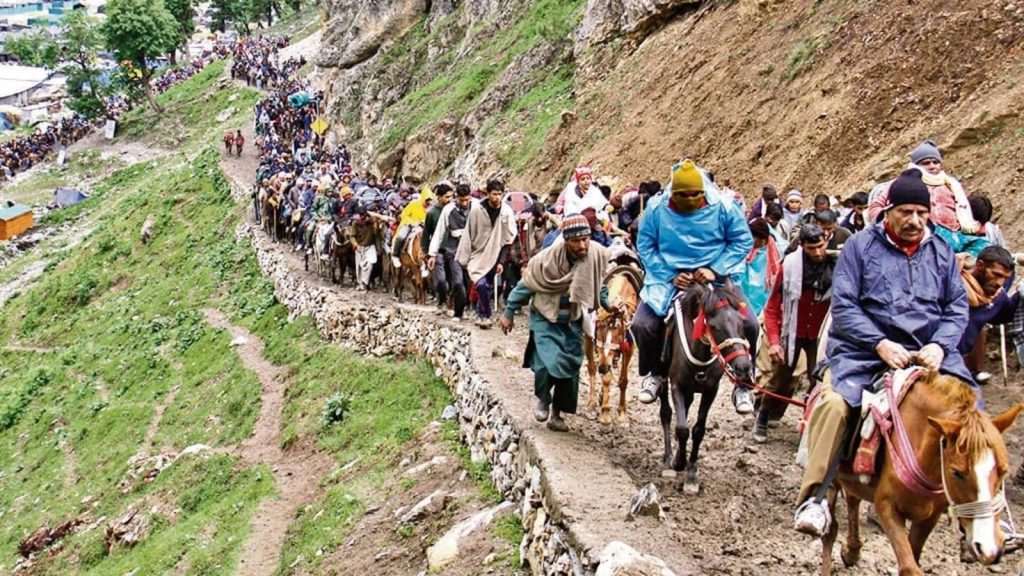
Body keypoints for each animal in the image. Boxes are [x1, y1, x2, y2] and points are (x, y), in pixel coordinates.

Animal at [585, 262, 638, 424]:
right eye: (599, 330)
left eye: (618, 333)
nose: (603, 367)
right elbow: (605, 377)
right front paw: (606, 414)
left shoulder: (629, 347)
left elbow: (623, 380)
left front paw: (622, 413)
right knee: (591, 368)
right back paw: (592, 405)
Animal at [659, 280, 757, 491]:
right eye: (714, 326)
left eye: (740, 323)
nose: (743, 366)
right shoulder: (677, 386)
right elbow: (682, 428)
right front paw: (679, 463)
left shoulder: (711, 391)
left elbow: (698, 430)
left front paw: (691, 473)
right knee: (666, 413)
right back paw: (668, 459)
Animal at [823, 373, 1024, 573]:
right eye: (957, 472)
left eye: (1003, 471)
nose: (989, 549)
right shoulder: (886, 506)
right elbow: (909, 567)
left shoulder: (929, 517)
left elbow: (914, 556)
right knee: (831, 528)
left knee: (852, 498)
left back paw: (852, 552)